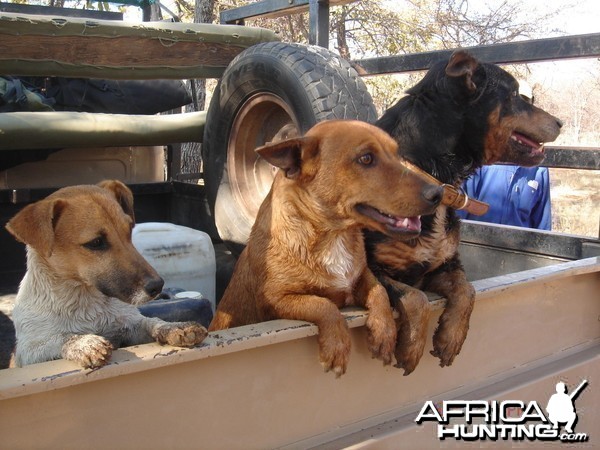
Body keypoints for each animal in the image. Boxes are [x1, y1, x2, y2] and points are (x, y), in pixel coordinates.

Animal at [5, 180, 209, 370]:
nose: (158, 286)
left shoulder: (130, 325)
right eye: (96, 242)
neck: (85, 301)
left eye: (129, 230)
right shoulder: (30, 352)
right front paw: (85, 343)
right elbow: (61, 338)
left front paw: (175, 326)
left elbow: (151, 322)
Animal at [209, 119, 442, 376]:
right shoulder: (275, 300)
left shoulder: (362, 276)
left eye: (397, 154)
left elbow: (379, 291)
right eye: (366, 158)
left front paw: (384, 332)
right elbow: (323, 304)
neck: (333, 236)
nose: (438, 193)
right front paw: (337, 345)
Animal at [368, 49, 564, 374]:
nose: (561, 122)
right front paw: (411, 347)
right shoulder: (369, 268)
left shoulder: (444, 265)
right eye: (514, 95)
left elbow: (467, 290)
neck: (434, 177)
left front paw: (451, 337)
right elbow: (414, 297)